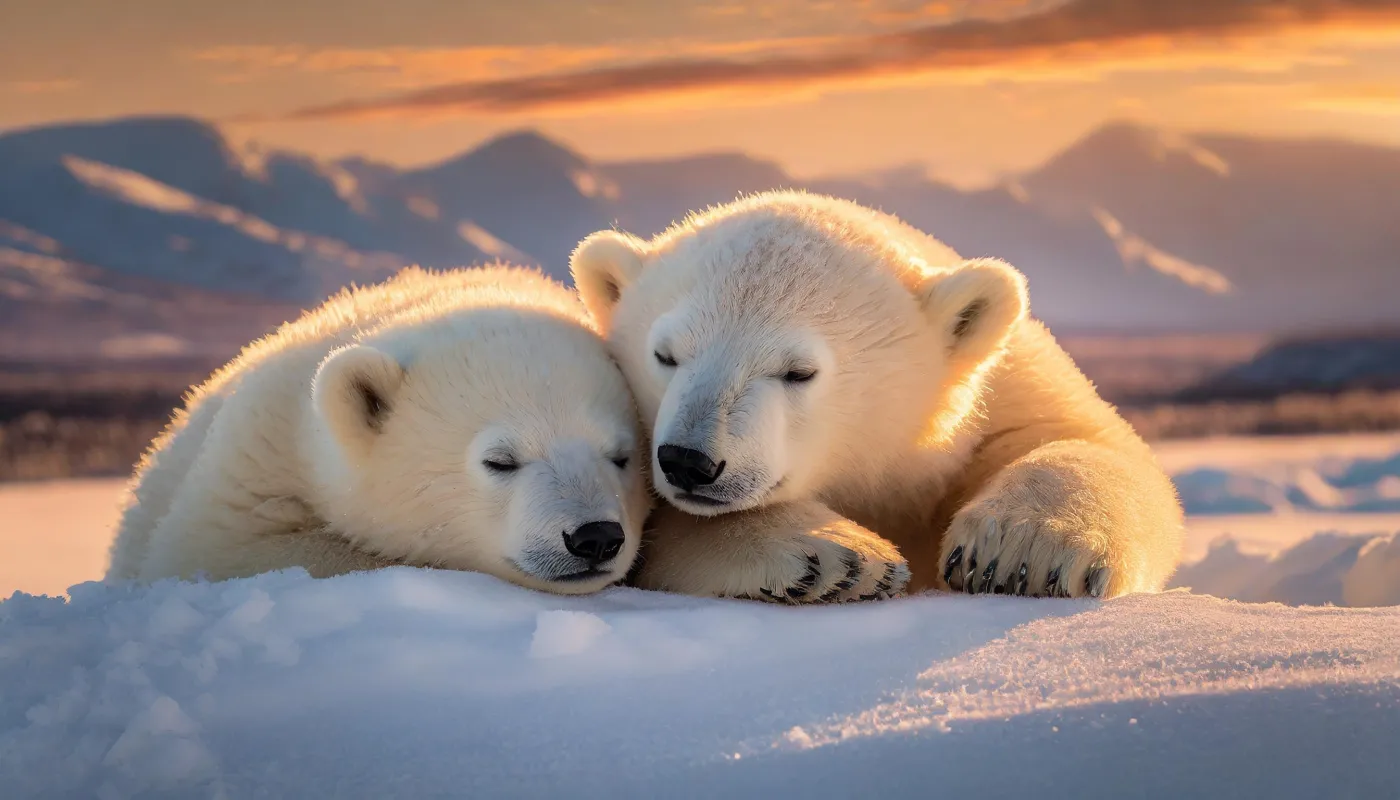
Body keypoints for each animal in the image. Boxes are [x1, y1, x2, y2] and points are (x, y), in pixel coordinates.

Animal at [570, 190, 1183, 601]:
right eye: (665, 354)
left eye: (799, 372)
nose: (689, 461)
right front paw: (837, 558)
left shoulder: (1002, 396)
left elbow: (1090, 442)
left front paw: (1023, 550)